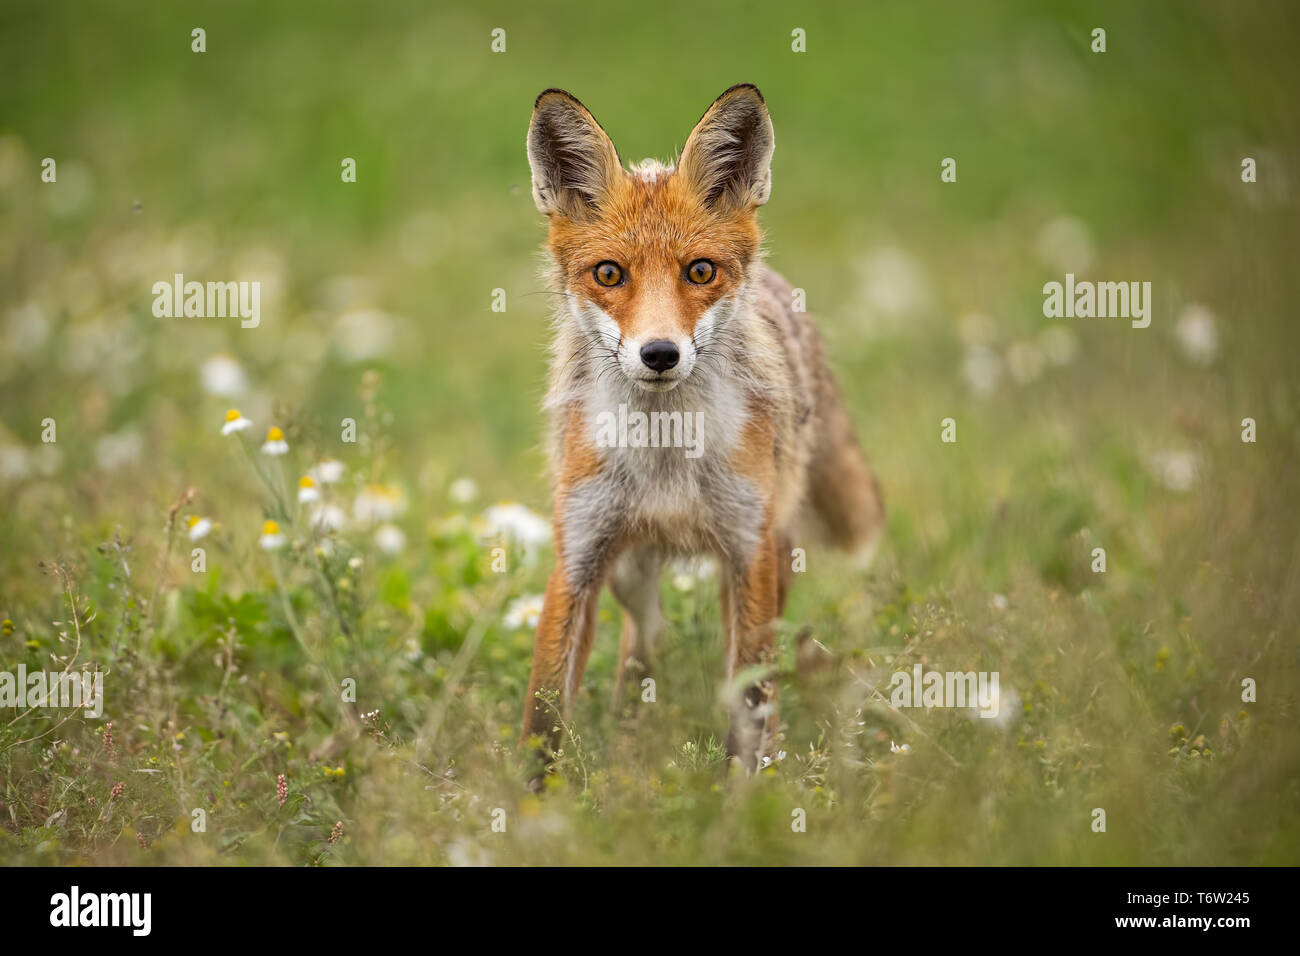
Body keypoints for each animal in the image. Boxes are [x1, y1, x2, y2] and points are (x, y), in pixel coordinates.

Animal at [520, 83, 883, 780]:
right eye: (609, 274)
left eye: (700, 271)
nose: (660, 353)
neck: (666, 455)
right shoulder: (577, 555)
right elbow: (545, 715)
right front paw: (526, 801)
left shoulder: (748, 552)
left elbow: (751, 704)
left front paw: (746, 796)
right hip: (630, 570)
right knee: (645, 638)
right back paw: (629, 727)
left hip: (771, 553)